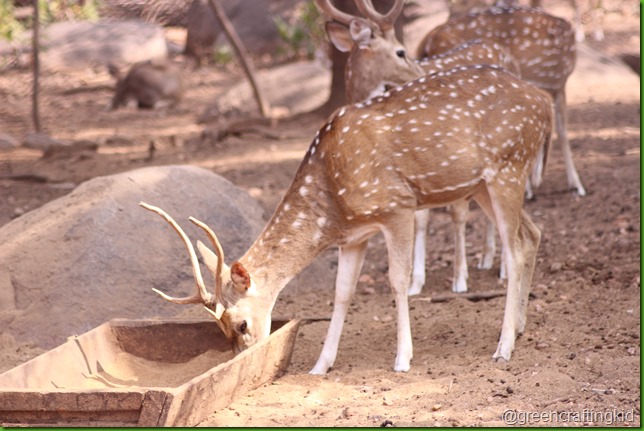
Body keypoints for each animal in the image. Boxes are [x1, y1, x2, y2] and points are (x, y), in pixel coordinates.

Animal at [141, 60, 552, 372]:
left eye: (240, 323)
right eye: (221, 330)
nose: (243, 359)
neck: (332, 206)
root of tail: (544, 100)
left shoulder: (397, 206)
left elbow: (397, 281)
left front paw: (403, 359)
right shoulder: (354, 236)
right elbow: (341, 294)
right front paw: (321, 365)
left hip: (508, 167)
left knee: (515, 248)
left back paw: (503, 347)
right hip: (482, 185)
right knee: (532, 234)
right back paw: (519, 328)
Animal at [316, 0, 524, 296]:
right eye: (400, 51)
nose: (419, 73)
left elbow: (450, 215)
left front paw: (456, 279)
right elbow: (421, 218)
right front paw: (416, 282)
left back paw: (501, 268)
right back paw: (486, 259)